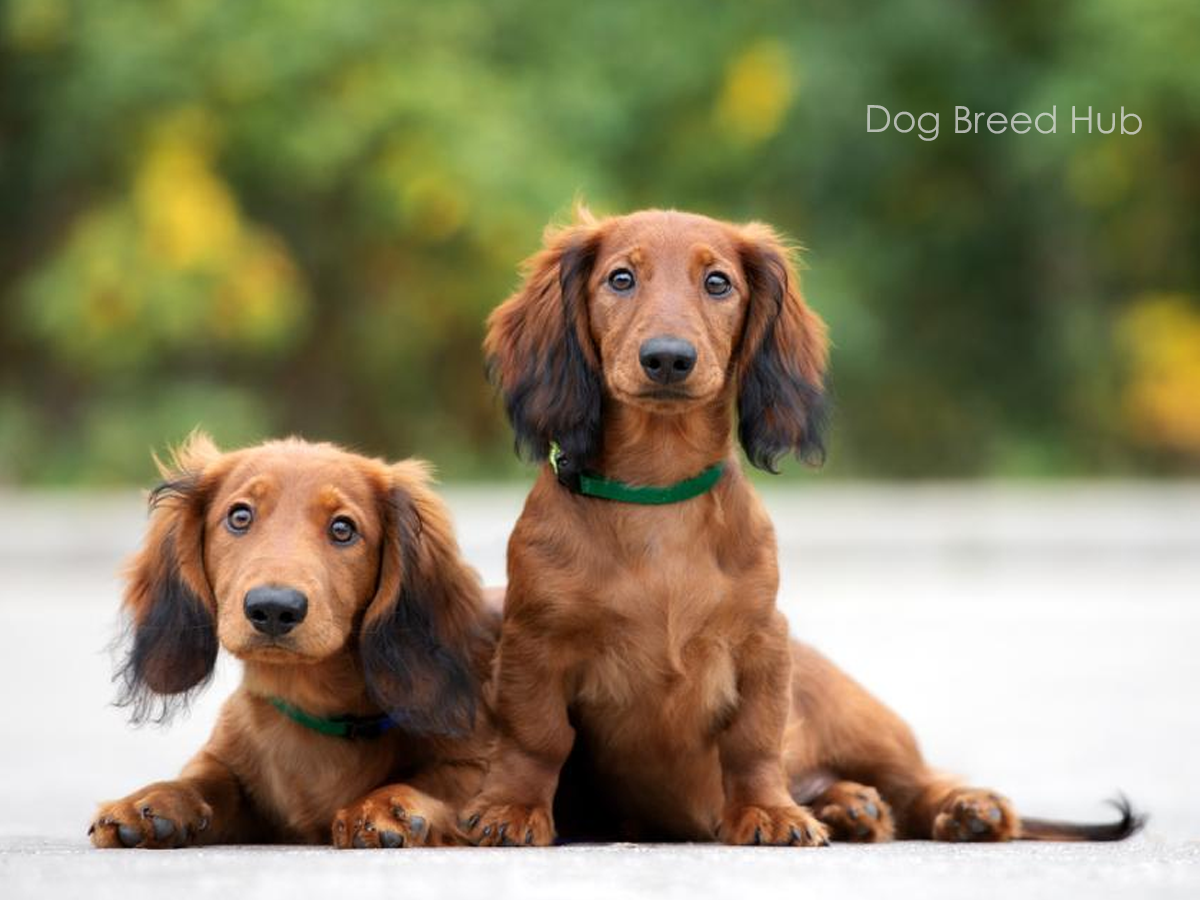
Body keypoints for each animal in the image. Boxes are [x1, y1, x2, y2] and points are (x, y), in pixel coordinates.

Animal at [87, 436, 492, 854]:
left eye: (343, 528)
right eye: (240, 516)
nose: (273, 608)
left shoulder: (478, 766)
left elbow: (443, 782)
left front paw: (383, 805)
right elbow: (206, 779)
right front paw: (153, 800)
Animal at [460, 210, 1142, 844]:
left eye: (717, 282)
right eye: (620, 279)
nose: (668, 359)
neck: (657, 494)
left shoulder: (764, 640)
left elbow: (755, 743)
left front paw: (768, 811)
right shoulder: (535, 641)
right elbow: (538, 736)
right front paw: (511, 808)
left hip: (859, 720)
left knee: (918, 780)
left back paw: (967, 809)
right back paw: (851, 807)